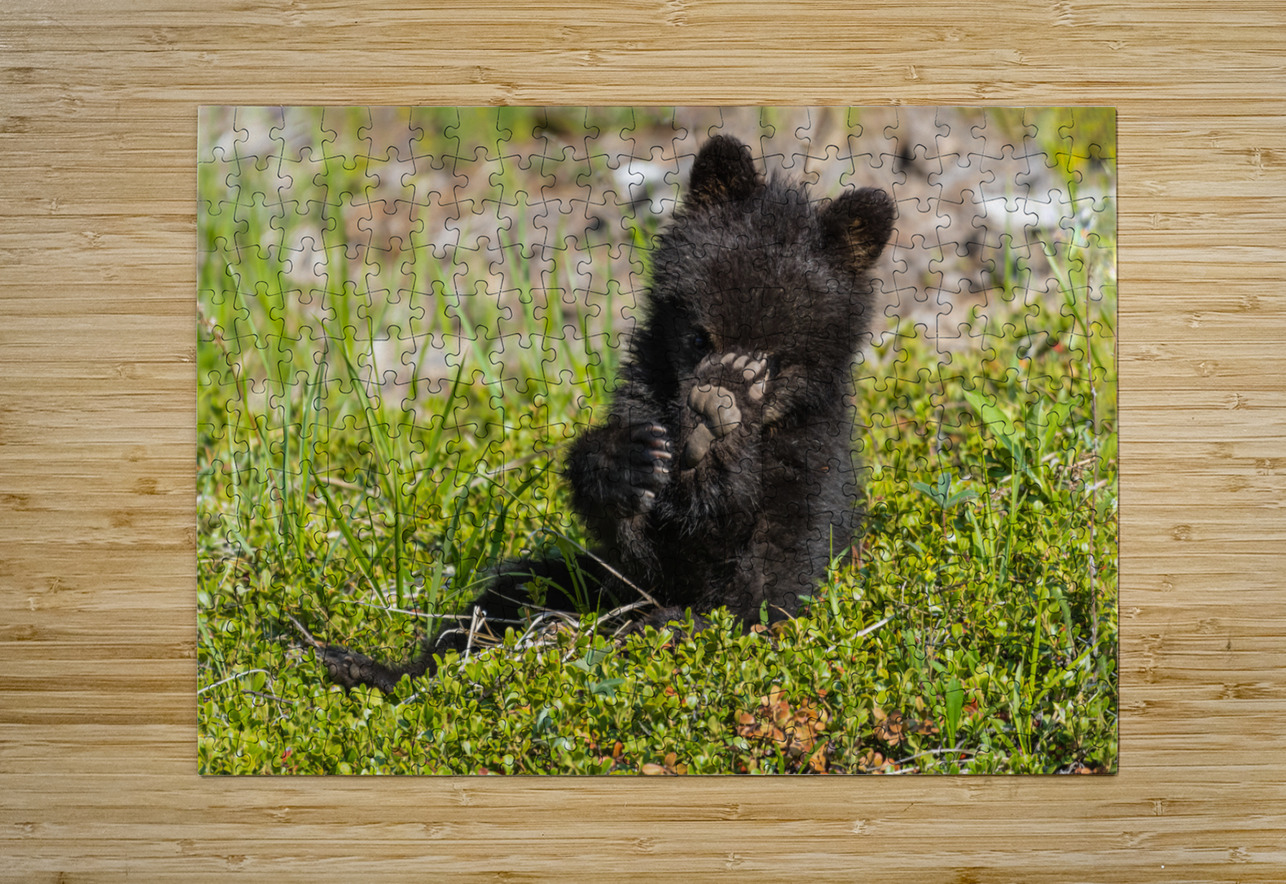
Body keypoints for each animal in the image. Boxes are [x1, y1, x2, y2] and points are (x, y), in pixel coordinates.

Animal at [318, 134, 894, 693]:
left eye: (773, 360)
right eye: (698, 335)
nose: (714, 393)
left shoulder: (808, 466)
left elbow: (768, 578)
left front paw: (716, 441)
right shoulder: (647, 400)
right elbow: (641, 543)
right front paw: (627, 462)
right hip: (588, 586)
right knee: (510, 594)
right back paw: (371, 669)